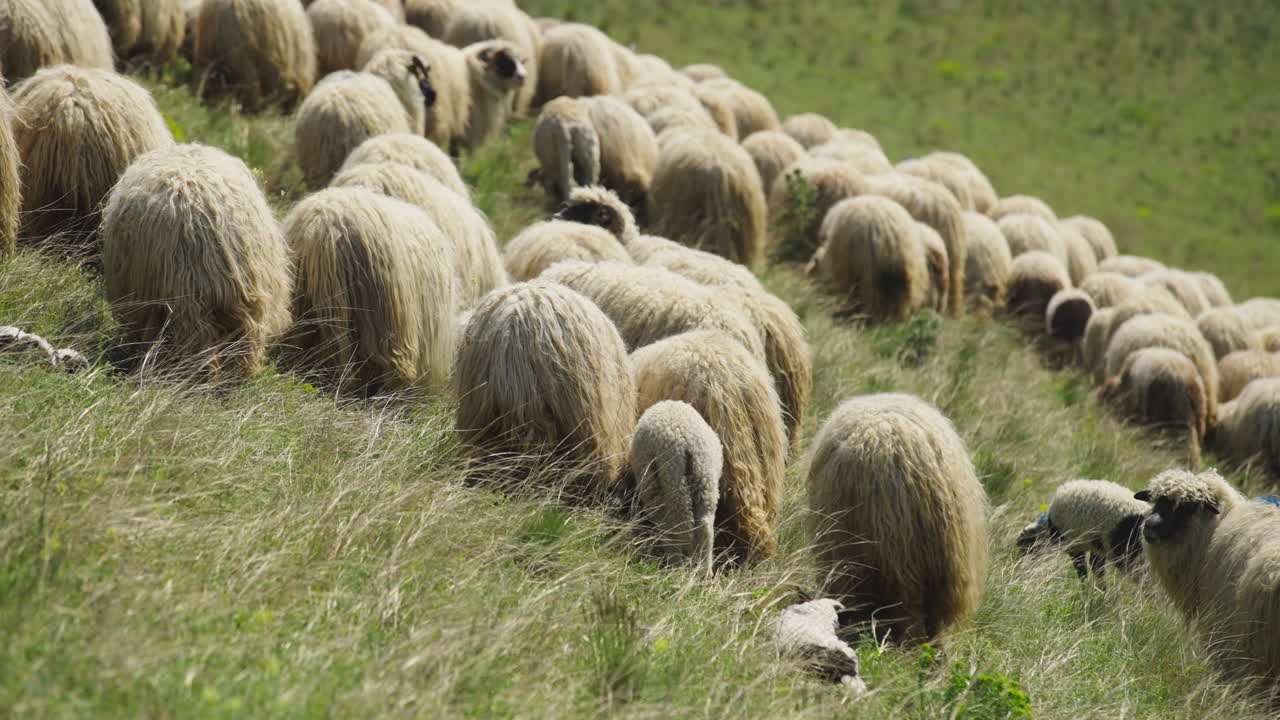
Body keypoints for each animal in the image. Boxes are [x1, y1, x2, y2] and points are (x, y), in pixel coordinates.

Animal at [630, 400, 723, 574]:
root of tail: (683, 441)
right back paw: (704, 573)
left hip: (664, 483)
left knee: (670, 527)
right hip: (705, 479)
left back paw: (675, 568)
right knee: (704, 527)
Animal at [1016, 479, 1151, 579]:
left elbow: (1083, 573)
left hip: (1132, 557)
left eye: (1025, 547)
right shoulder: (1097, 548)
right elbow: (1097, 571)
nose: (1021, 566)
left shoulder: (1075, 546)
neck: (1050, 527)